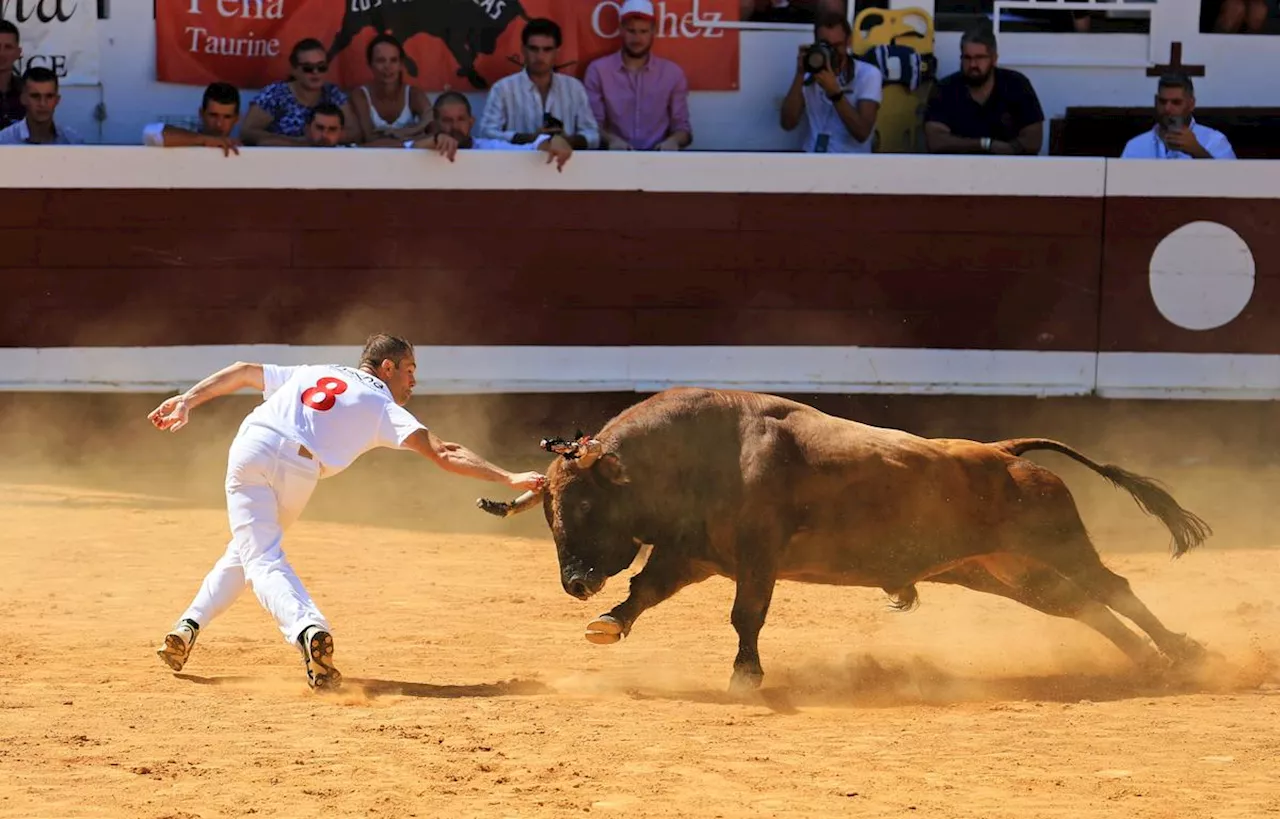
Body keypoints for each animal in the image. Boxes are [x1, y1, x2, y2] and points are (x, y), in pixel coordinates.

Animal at [481, 386, 1208, 685]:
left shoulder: (757, 557)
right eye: (547, 510)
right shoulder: (692, 553)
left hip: (1054, 541)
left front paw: (747, 673)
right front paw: (609, 622)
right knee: (1081, 604)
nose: (575, 583)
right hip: (1003, 569)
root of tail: (1003, 451)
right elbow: (645, 589)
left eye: (584, 502)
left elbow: (746, 615)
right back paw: (1150, 662)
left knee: (1113, 586)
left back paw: (1185, 650)